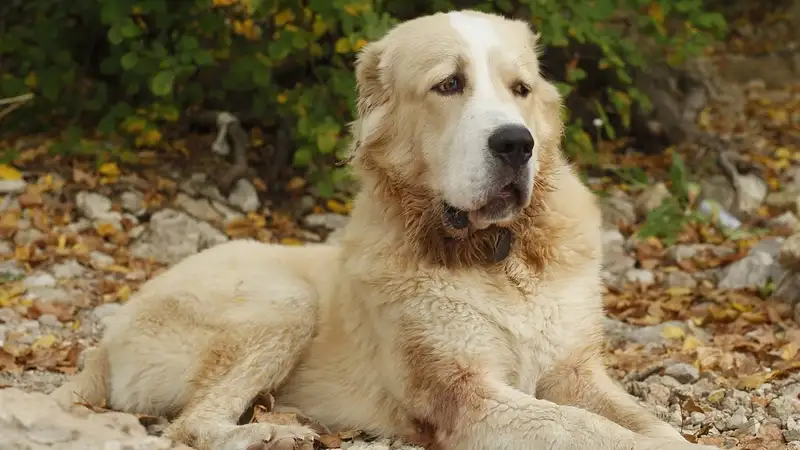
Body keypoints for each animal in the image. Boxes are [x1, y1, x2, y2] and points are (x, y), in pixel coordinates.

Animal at [51, 9, 720, 450]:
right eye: (449, 84)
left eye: (520, 89)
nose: (515, 142)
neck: (499, 256)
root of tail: (105, 342)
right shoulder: (464, 396)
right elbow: (584, 427)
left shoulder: (575, 373)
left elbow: (645, 421)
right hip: (282, 302)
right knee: (190, 424)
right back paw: (271, 436)